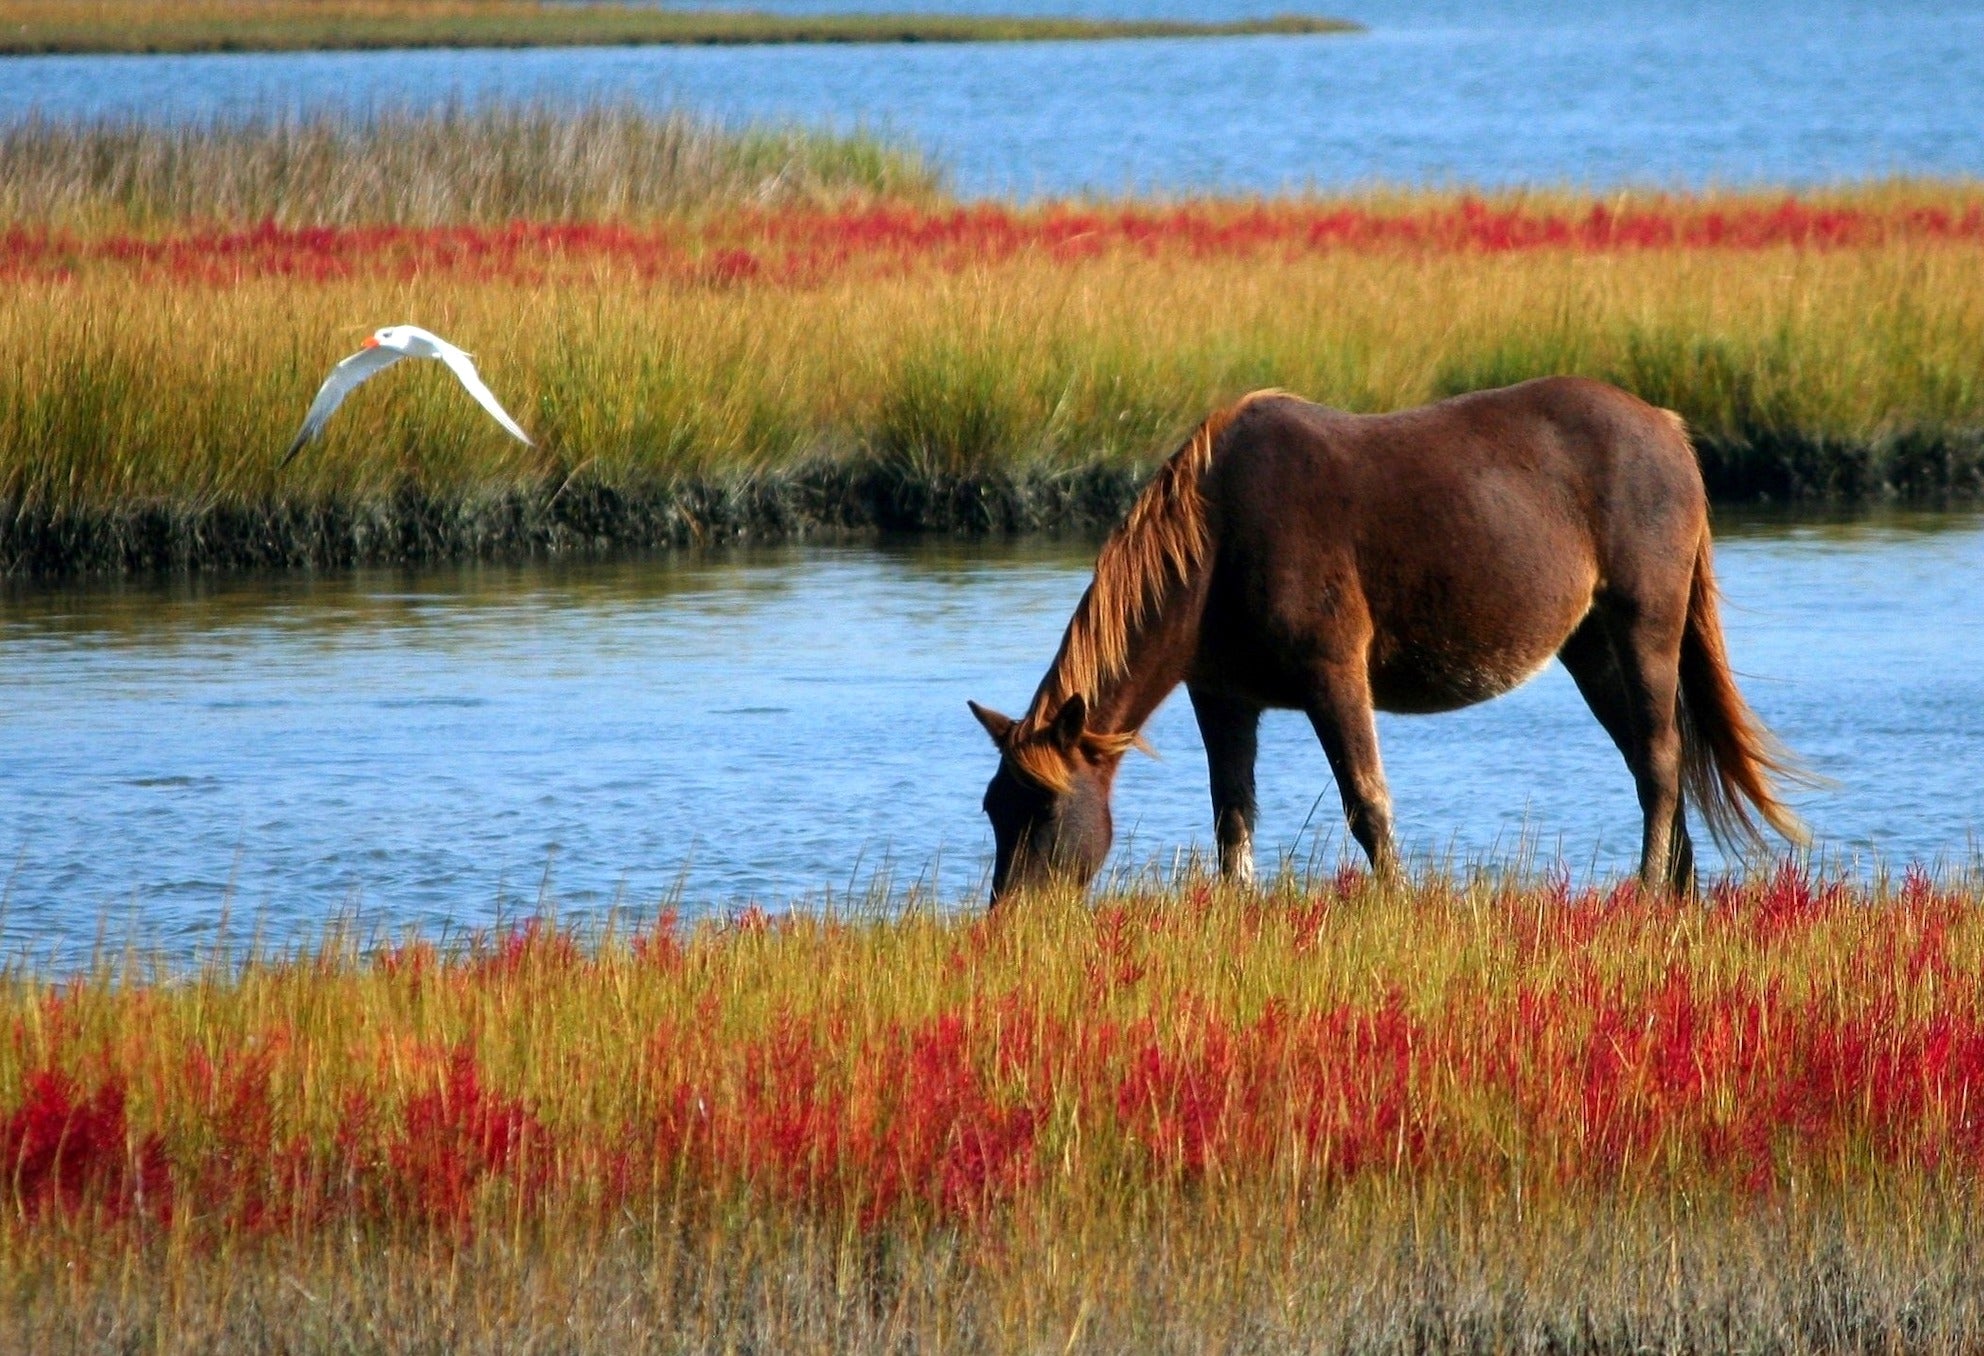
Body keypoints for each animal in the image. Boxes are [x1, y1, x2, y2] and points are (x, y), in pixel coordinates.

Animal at [969, 377, 1808, 904]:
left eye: (1044, 810)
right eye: (993, 808)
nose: (1012, 918)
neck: (1218, 540)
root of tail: (1667, 427)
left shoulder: (1334, 675)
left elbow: (1367, 802)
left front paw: (1396, 902)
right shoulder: (1223, 696)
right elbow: (1232, 816)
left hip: (1644, 624)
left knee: (1662, 759)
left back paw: (1648, 888)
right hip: (1591, 647)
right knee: (1648, 760)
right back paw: (1678, 888)